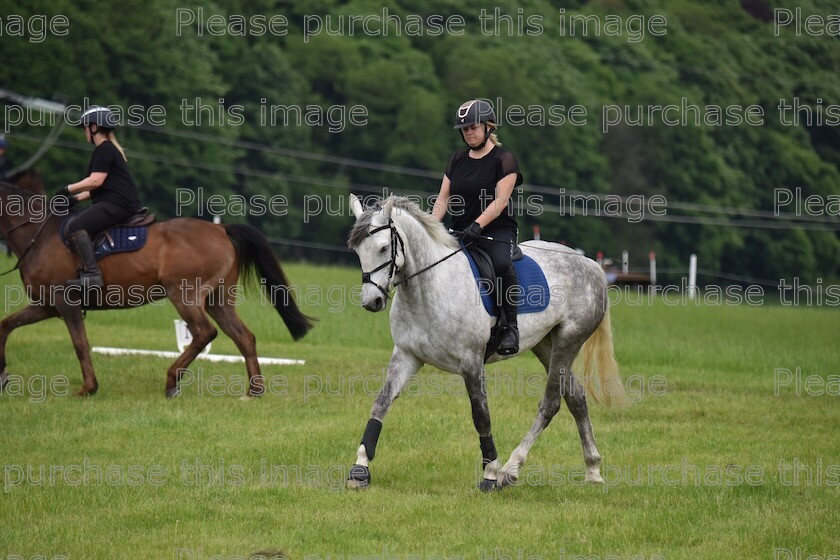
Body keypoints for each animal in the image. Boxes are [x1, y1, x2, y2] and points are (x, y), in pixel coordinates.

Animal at [0, 182, 316, 396]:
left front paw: (88, 388)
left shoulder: (66, 304)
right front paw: (3, 376)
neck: (38, 235)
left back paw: (172, 381)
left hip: (184, 295)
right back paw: (254, 391)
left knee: (204, 332)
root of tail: (220, 228)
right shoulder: (47, 305)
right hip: (218, 299)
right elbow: (6, 326)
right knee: (243, 337)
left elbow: (80, 344)